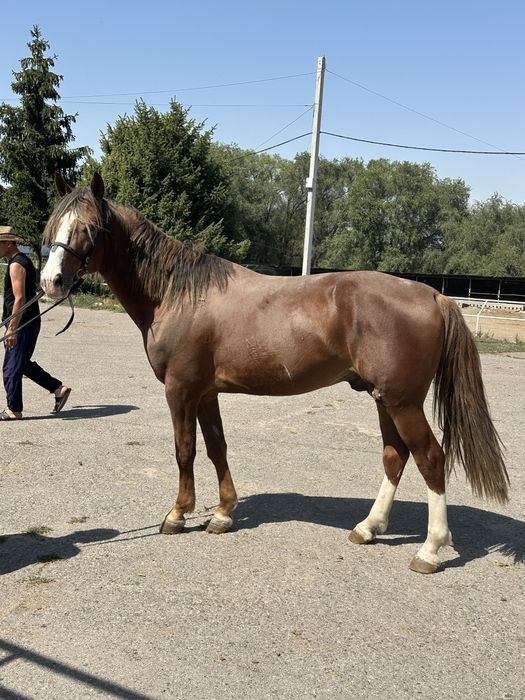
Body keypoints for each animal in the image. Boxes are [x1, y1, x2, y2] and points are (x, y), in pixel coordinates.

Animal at [40, 173, 509, 574]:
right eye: (55, 224)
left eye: (89, 227)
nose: (51, 281)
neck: (177, 294)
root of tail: (433, 295)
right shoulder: (206, 393)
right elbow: (217, 448)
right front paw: (223, 513)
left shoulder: (181, 390)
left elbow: (184, 451)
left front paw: (177, 515)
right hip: (384, 400)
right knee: (396, 457)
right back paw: (368, 528)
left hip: (403, 402)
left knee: (431, 459)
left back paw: (430, 549)